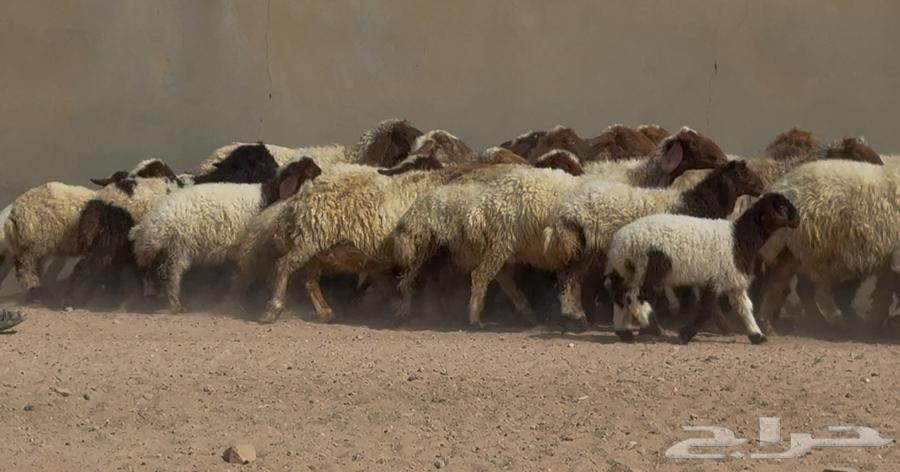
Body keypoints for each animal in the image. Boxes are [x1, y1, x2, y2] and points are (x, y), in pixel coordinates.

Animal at [130, 158, 322, 313]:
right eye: (310, 171)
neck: (269, 197)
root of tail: (147, 227)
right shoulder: (252, 248)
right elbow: (245, 276)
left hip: (163, 252)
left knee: (154, 274)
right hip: (177, 248)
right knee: (170, 275)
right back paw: (176, 306)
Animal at [606, 193, 800, 344]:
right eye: (782, 207)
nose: (797, 219)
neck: (739, 239)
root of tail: (621, 244)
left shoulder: (732, 280)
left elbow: (744, 307)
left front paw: (757, 336)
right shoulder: (716, 278)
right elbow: (707, 309)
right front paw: (685, 334)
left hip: (628, 271)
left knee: (620, 296)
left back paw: (624, 333)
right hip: (649, 267)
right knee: (635, 297)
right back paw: (649, 322)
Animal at [755, 159, 900, 333]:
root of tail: (779, 188)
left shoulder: (889, 259)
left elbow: (883, 292)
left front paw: (874, 324)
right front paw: (874, 325)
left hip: (791, 248)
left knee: (778, 284)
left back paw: (767, 323)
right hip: (814, 245)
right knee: (819, 287)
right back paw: (835, 320)